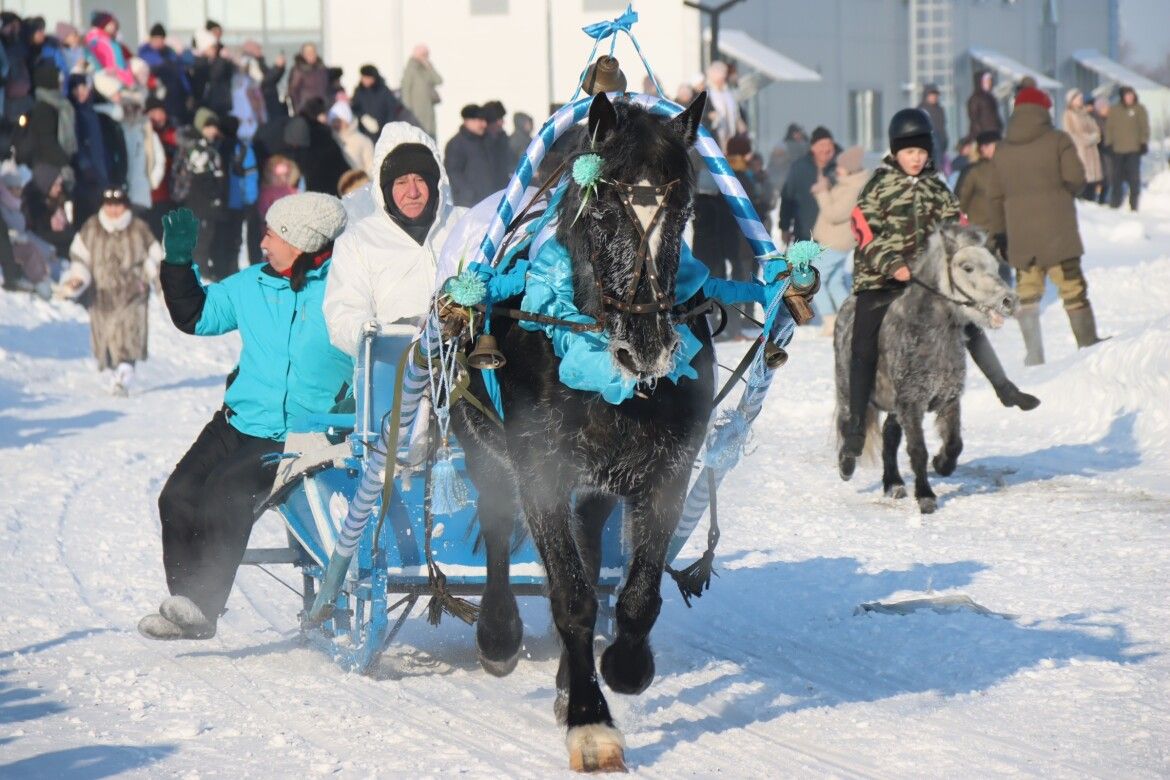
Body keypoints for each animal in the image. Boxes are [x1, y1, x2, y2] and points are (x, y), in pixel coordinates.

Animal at [451, 90, 711, 767]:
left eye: (685, 210)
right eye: (603, 208)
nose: (647, 346)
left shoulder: (668, 467)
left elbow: (636, 594)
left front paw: (622, 665)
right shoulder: (538, 466)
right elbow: (570, 596)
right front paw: (591, 723)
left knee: (591, 547)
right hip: (483, 448)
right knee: (497, 527)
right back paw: (498, 633)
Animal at [833, 225, 1015, 514]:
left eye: (995, 266)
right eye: (967, 267)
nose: (1008, 301)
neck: (929, 333)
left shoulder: (948, 399)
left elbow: (954, 443)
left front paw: (942, 464)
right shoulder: (911, 404)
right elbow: (918, 450)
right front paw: (926, 496)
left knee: (889, 436)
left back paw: (894, 484)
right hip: (847, 389)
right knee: (848, 422)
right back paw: (847, 463)